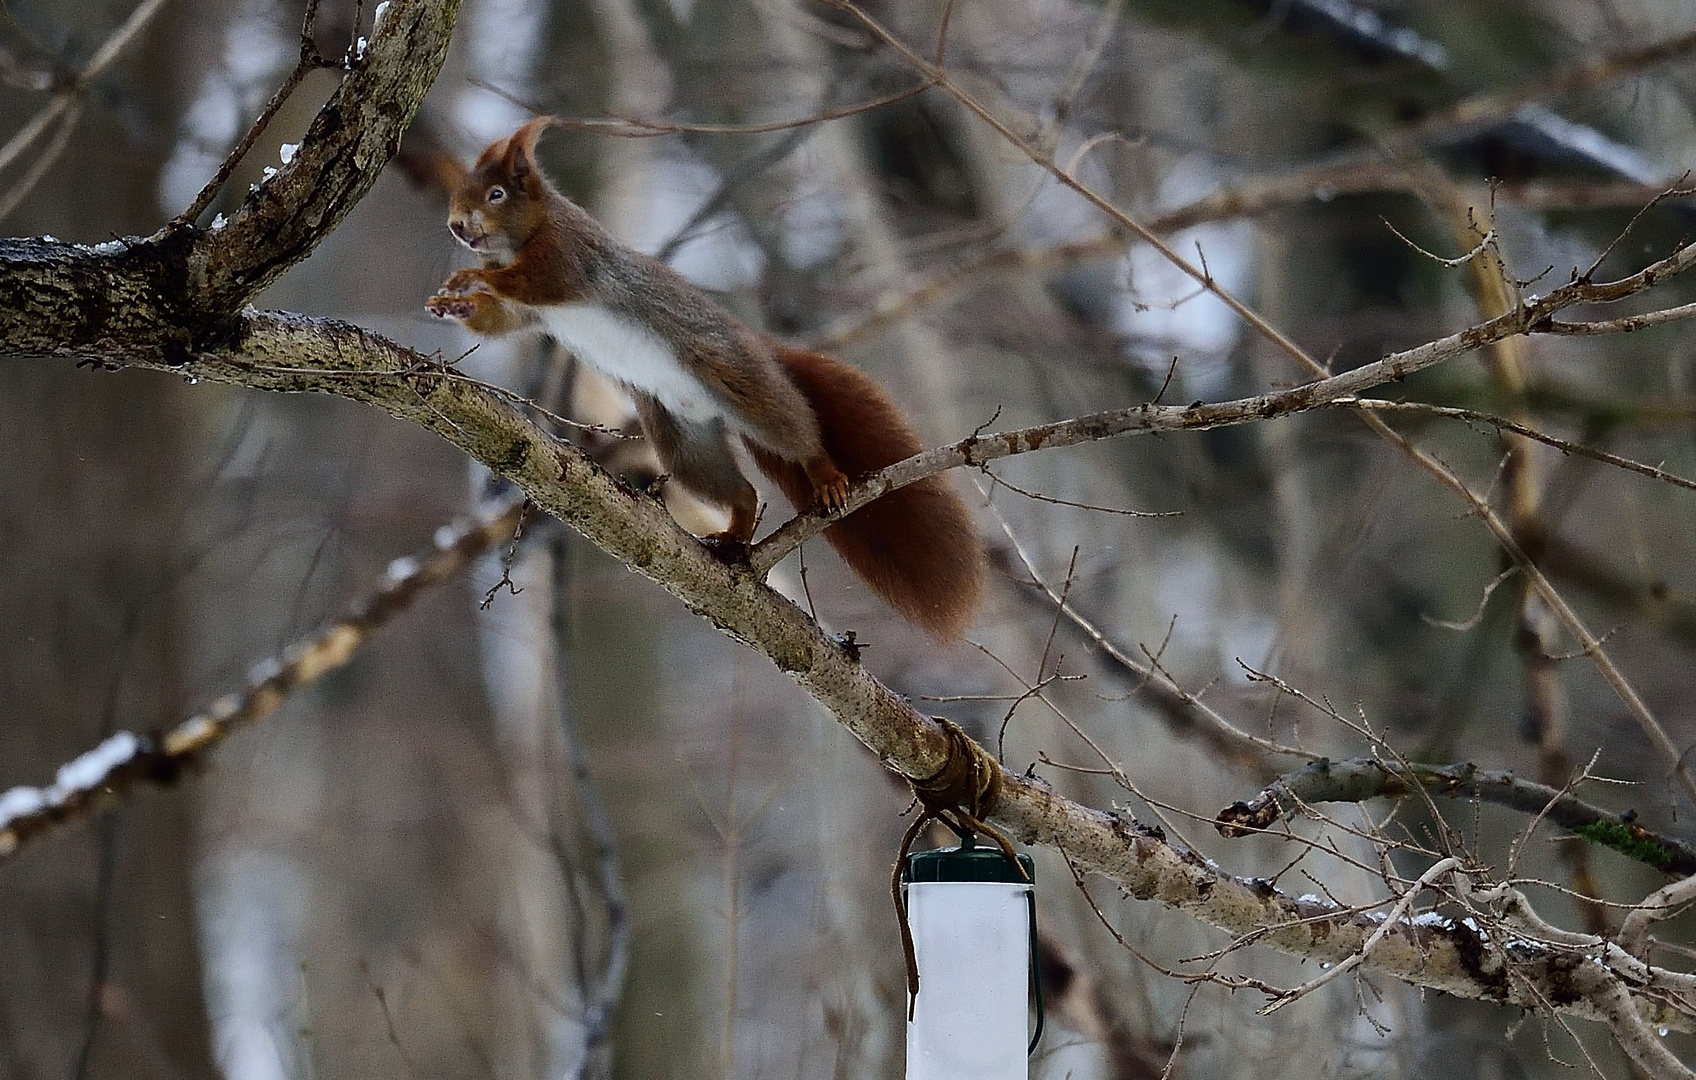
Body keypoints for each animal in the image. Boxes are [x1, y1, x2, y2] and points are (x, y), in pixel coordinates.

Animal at [424, 117, 983, 640]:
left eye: (496, 194)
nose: (456, 226)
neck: (524, 234)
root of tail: (758, 344)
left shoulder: (570, 256)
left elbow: (535, 280)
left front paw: (472, 279)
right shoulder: (531, 315)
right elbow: (502, 320)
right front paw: (454, 306)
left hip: (736, 377)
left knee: (797, 432)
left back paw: (823, 474)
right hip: (683, 439)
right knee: (742, 491)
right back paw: (735, 534)